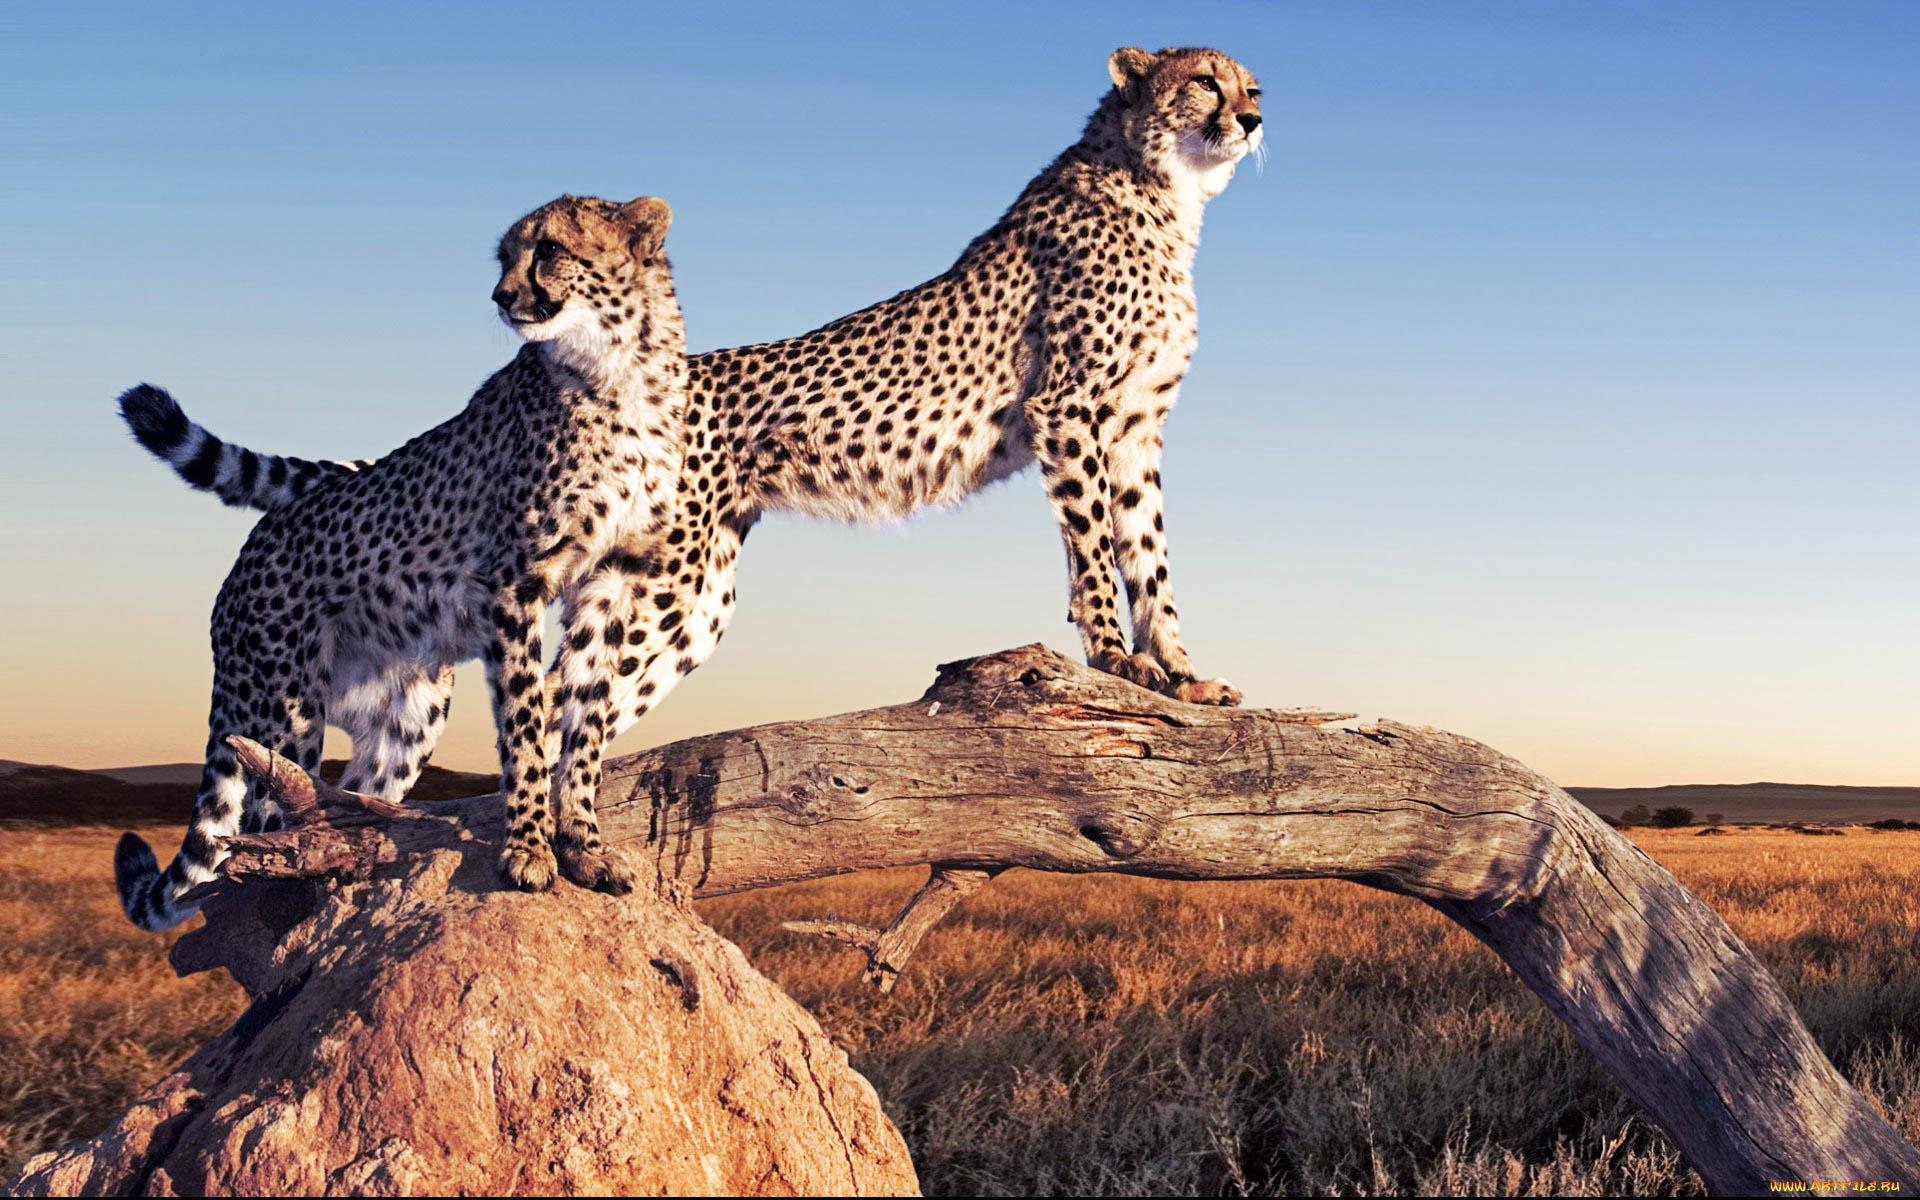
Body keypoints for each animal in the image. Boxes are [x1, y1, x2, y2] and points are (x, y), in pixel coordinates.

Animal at [111, 193, 686, 929]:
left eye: (550, 250)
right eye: (504, 256)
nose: (501, 296)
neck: (619, 367)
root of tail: (249, 552)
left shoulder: (610, 581)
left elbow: (586, 726)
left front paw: (583, 844)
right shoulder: (512, 584)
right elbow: (527, 726)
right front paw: (529, 849)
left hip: (410, 713)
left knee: (353, 796)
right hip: (285, 706)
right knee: (271, 818)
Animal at [126, 46, 1264, 819]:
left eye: (1247, 83)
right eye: (1205, 83)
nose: (1256, 115)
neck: (1162, 192)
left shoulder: (1136, 432)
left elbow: (1151, 558)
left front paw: (1182, 674)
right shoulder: (1070, 412)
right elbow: (1097, 556)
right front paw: (1119, 665)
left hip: (679, 599)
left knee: (569, 708)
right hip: (662, 590)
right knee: (544, 708)